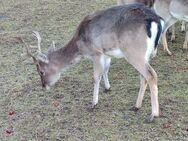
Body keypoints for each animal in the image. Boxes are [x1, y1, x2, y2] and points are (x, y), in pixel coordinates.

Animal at [25, 3, 164, 121]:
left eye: (41, 71)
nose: (44, 86)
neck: (80, 46)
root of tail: (157, 20)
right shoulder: (106, 53)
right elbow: (105, 70)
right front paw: (107, 88)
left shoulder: (96, 53)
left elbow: (96, 76)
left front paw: (93, 103)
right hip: (146, 54)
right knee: (143, 77)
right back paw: (137, 106)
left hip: (133, 51)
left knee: (151, 75)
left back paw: (153, 115)